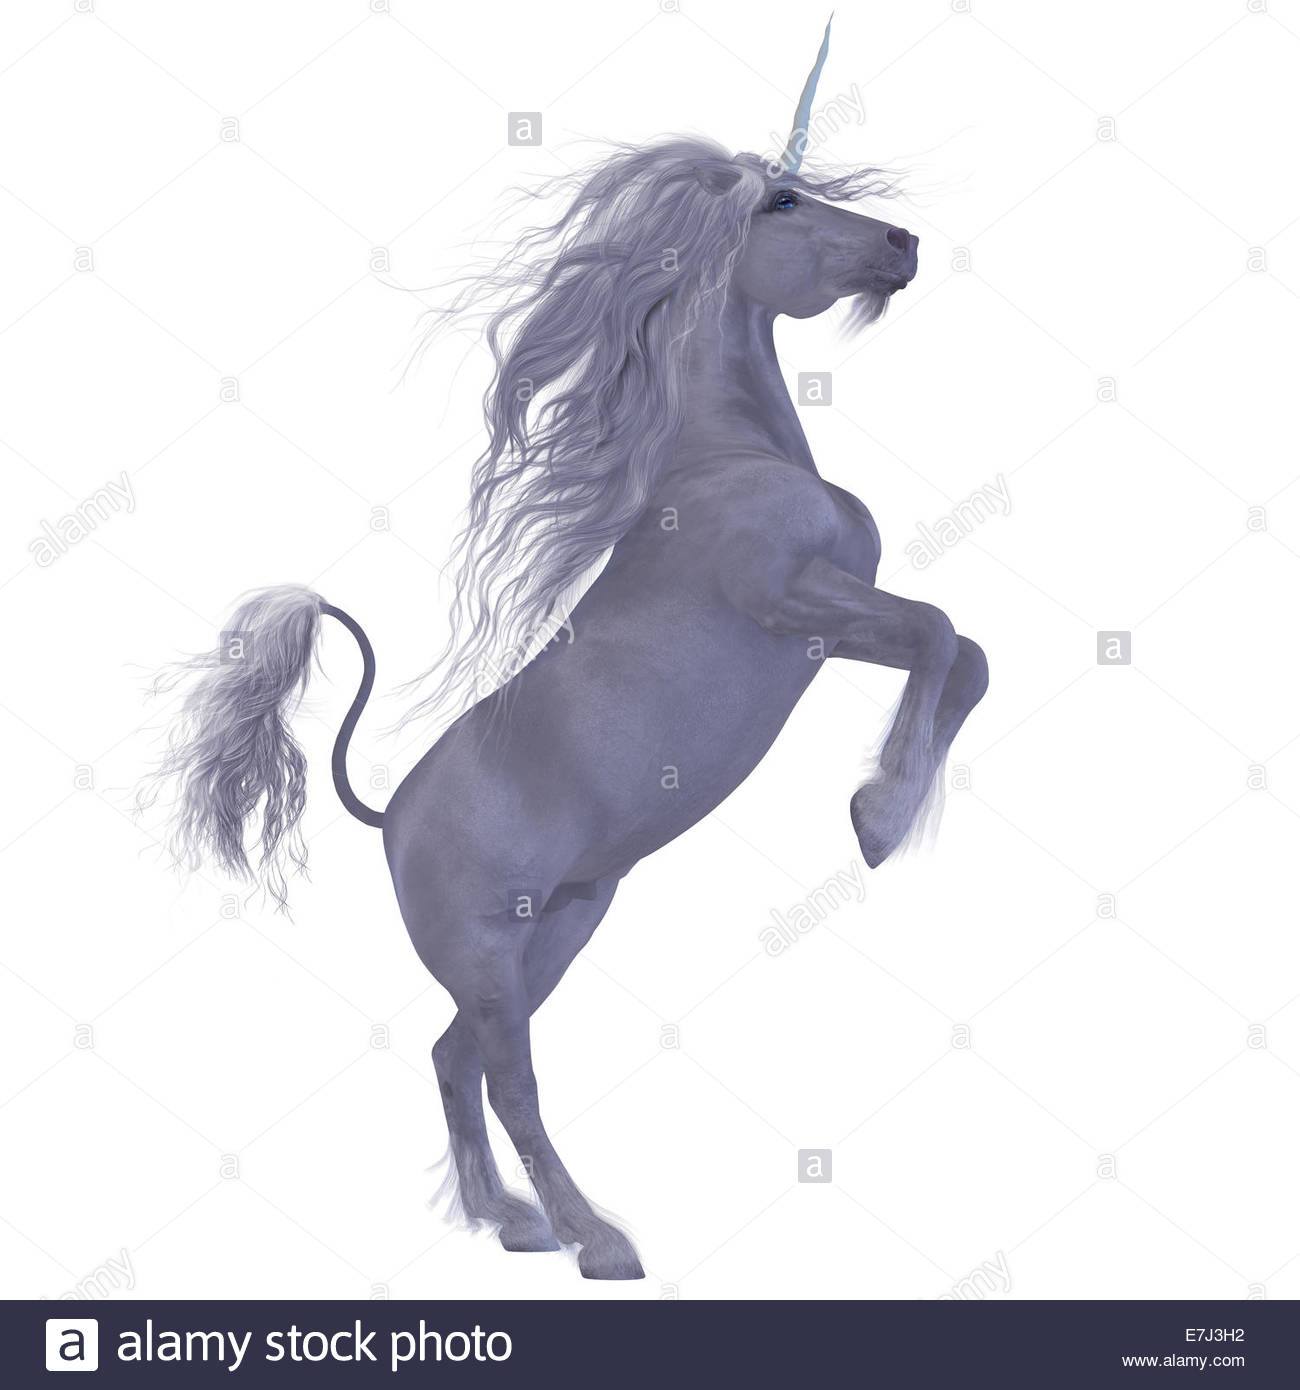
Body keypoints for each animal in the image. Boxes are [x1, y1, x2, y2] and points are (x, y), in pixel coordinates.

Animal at [142, 34, 988, 1282]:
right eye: (781, 202)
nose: (902, 244)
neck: (720, 462)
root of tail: (387, 812)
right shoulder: (788, 603)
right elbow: (939, 630)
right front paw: (876, 821)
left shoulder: (833, 627)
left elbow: (961, 649)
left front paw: (891, 807)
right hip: (493, 953)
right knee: (507, 1078)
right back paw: (597, 1240)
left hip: (564, 925)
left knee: (453, 1060)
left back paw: (516, 1223)